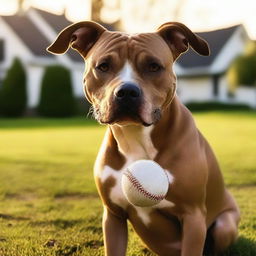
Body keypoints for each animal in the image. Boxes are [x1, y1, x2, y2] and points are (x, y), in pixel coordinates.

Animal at [47, 21, 240, 255]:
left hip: (225, 225)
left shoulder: (193, 217)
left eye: (153, 66)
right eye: (103, 66)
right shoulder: (113, 215)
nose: (127, 91)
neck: (135, 138)